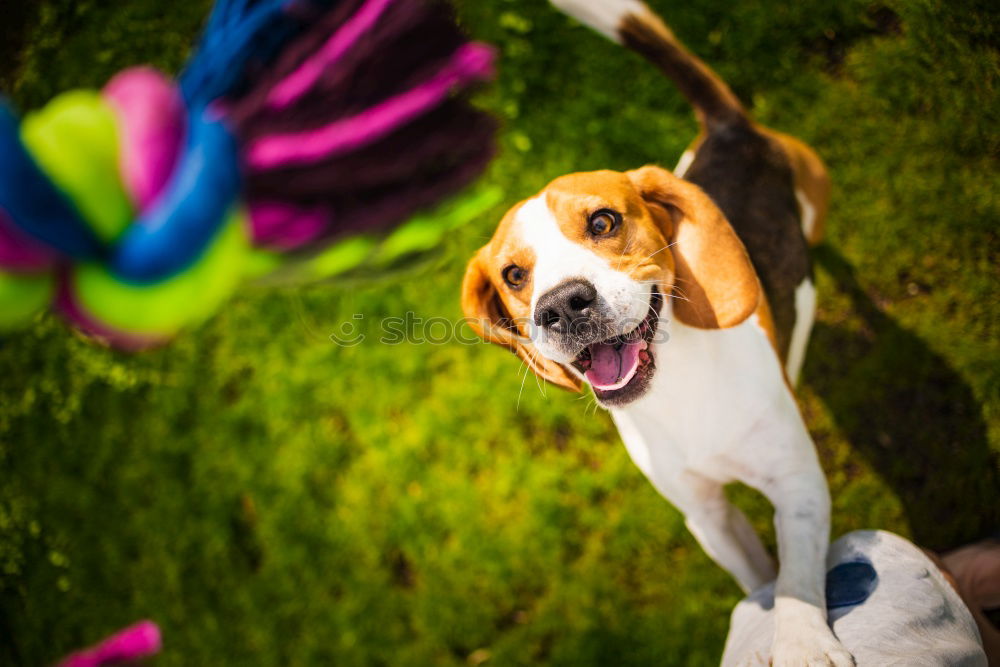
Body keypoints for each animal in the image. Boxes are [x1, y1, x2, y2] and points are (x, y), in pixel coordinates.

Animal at [462, 1, 852, 667]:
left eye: (603, 221)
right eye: (514, 274)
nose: (561, 307)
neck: (678, 390)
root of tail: (730, 128)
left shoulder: (797, 483)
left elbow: (798, 580)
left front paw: (802, 643)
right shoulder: (706, 515)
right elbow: (762, 583)